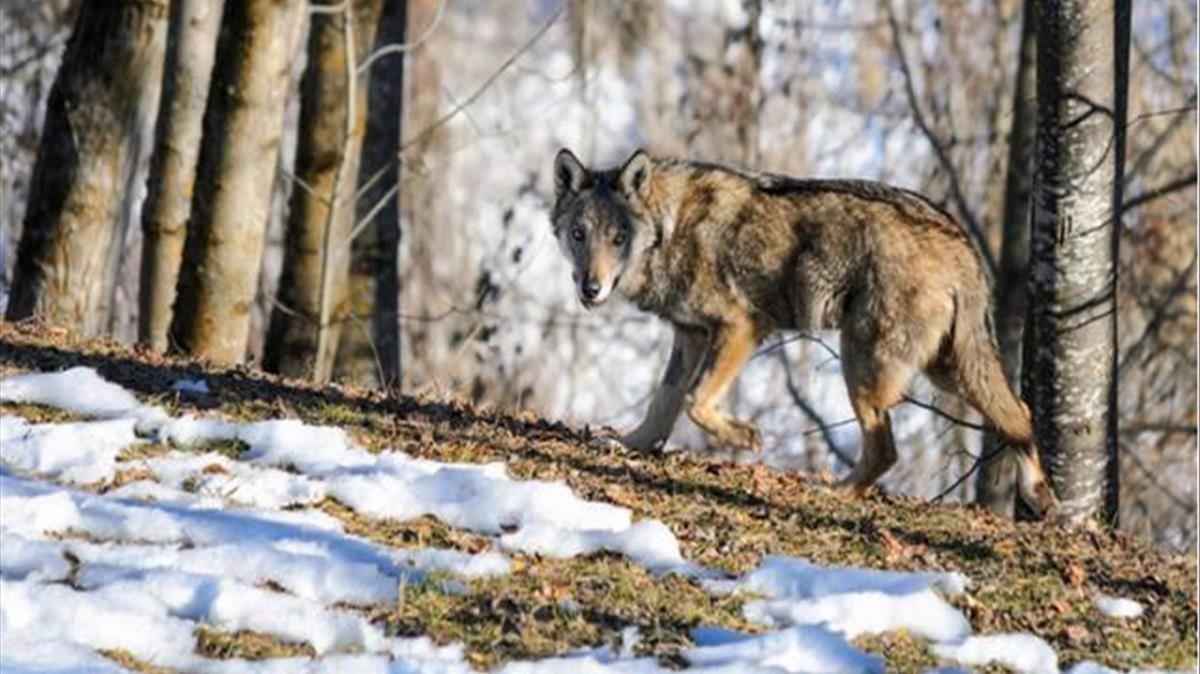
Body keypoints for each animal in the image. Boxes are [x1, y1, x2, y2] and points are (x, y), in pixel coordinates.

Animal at [547, 148, 1060, 513]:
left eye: (618, 239)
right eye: (579, 235)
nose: (591, 288)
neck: (670, 229)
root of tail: (961, 241)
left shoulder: (741, 327)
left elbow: (694, 401)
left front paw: (744, 437)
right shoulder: (690, 335)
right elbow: (664, 403)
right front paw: (629, 445)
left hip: (865, 367)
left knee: (886, 451)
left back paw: (833, 493)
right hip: (947, 371)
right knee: (1020, 412)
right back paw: (1038, 493)